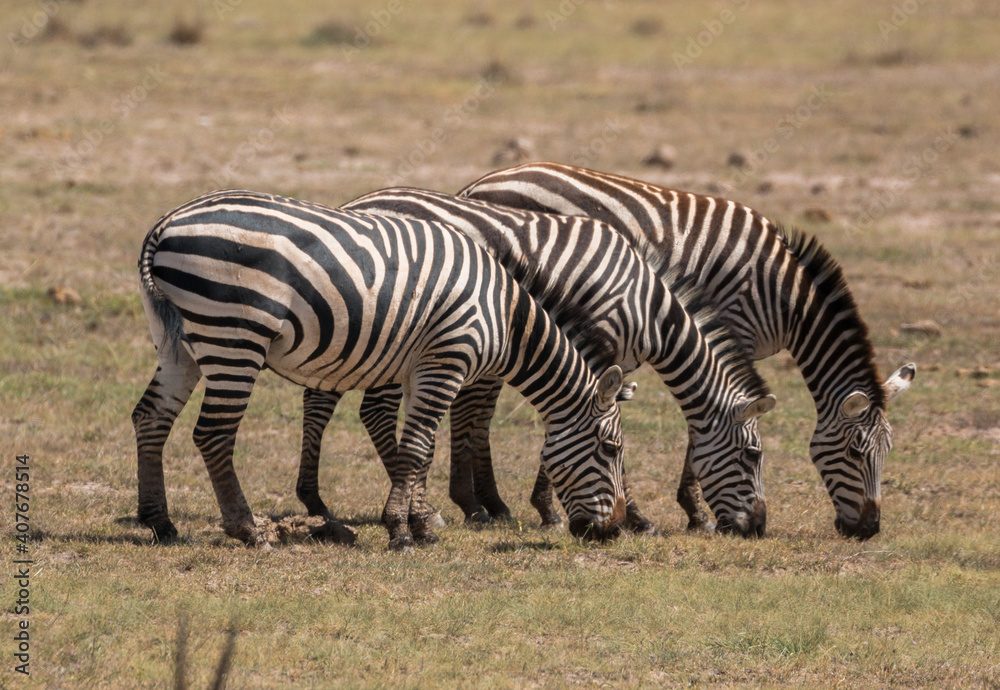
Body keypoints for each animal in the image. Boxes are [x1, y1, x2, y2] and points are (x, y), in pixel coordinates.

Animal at [131, 188, 632, 548]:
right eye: (610, 449)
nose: (612, 531)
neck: (505, 316)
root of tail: (164, 225)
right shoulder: (447, 361)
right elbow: (415, 449)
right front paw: (401, 531)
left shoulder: (421, 370)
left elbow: (424, 450)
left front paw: (422, 523)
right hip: (234, 335)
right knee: (213, 434)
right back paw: (248, 530)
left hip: (179, 343)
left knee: (150, 417)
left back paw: (160, 523)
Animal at [298, 188, 780, 536]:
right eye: (753, 455)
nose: (757, 528)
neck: (646, 306)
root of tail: (356, 203)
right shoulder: (602, 343)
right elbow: (593, 430)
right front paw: (617, 515)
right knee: (369, 409)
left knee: (330, 399)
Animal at [458, 163, 916, 536]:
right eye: (855, 452)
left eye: (888, 452)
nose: (869, 530)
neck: (786, 298)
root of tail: (479, 184)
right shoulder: (735, 328)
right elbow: (702, 424)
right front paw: (694, 512)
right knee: (477, 400)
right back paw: (483, 504)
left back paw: (485, 503)